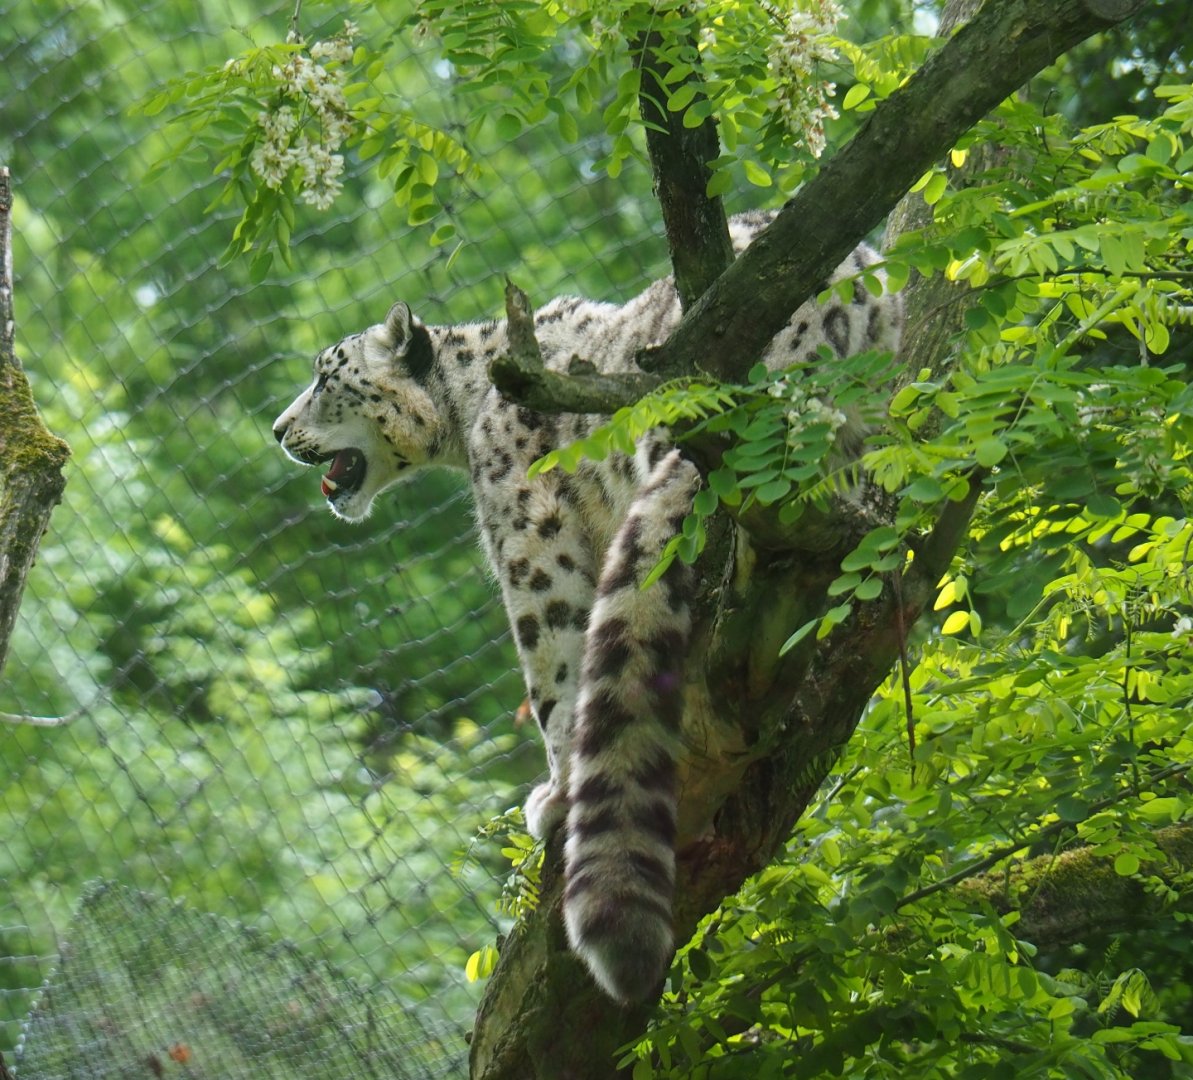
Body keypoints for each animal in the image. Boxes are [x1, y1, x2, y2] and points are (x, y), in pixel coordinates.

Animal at [272, 210, 902, 1002]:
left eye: (327, 377)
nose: (277, 429)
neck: (468, 414)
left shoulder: (528, 536)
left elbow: (554, 661)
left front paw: (556, 790)